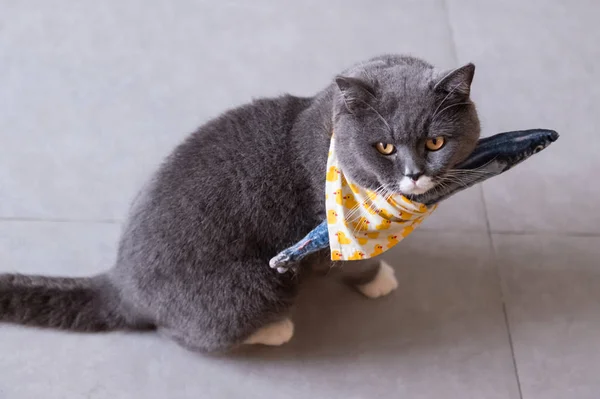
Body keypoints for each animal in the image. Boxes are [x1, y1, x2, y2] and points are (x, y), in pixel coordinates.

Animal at [0, 55, 478, 354]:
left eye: (435, 142)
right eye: (384, 147)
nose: (414, 173)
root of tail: (120, 283)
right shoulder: (335, 237)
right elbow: (358, 263)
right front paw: (380, 279)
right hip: (256, 285)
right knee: (181, 333)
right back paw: (275, 329)